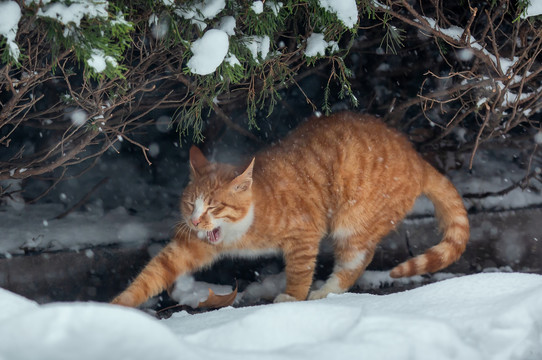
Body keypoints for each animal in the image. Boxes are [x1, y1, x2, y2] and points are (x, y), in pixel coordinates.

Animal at [111, 110, 472, 306]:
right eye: (190, 204)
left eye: (214, 206)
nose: (196, 220)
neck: (241, 229)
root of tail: (416, 157)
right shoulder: (190, 246)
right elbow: (154, 273)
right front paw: (118, 307)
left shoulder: (304, 233)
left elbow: (299, 271)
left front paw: (293, 298)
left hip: (354, 220)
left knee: (356, 259)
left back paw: (325, 291)